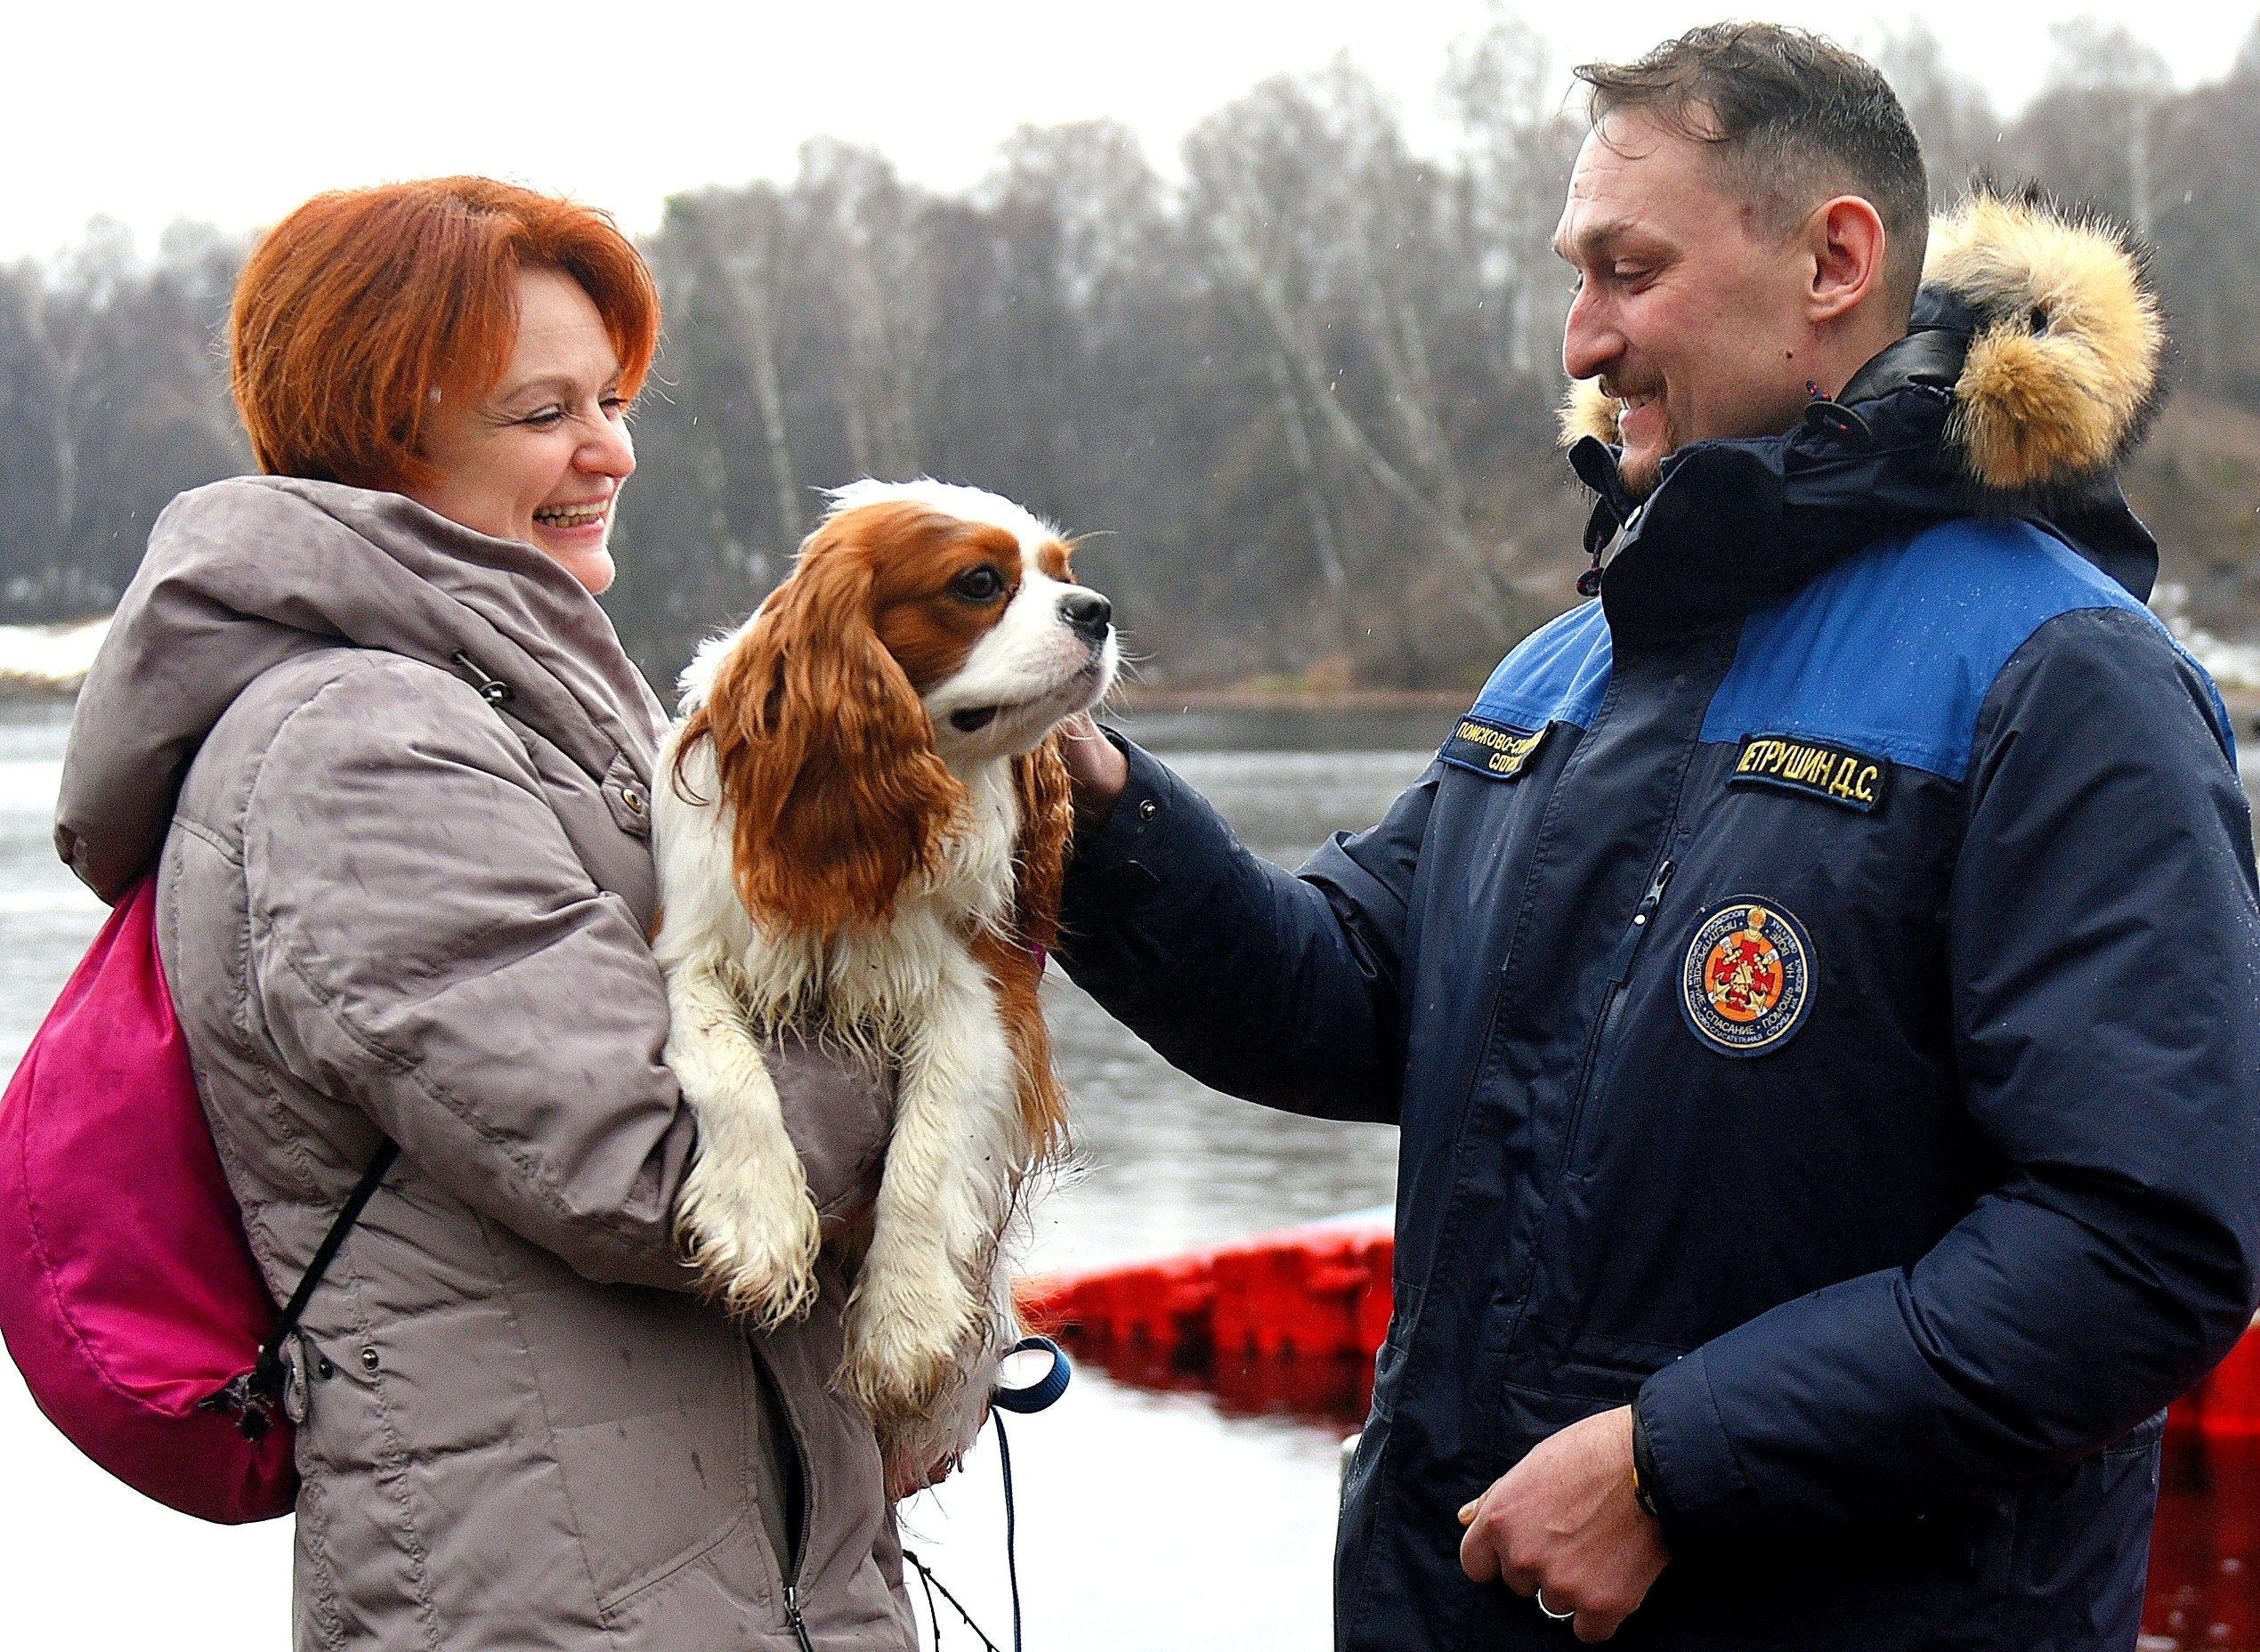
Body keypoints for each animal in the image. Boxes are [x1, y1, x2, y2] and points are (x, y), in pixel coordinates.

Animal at [651, 479, 1116, 1482]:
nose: (1094, 609)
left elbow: (926, 1151)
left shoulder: (981, 994)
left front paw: (905, 1320)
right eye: (979, 583)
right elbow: (723, 1062)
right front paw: (756, 1218)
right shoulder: (689, 945)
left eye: (1063, 570)